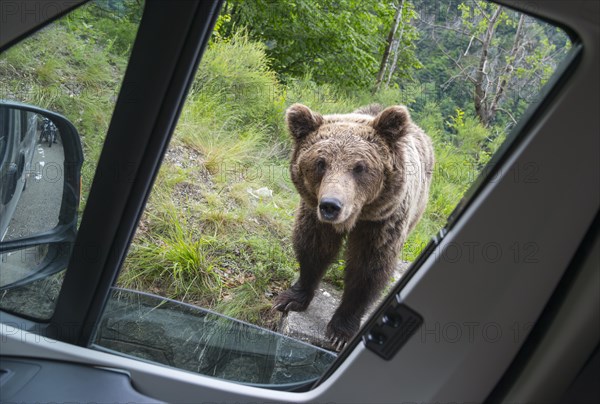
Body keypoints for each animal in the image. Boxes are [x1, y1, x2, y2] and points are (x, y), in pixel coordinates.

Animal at [274, 102, 434, 348]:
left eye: (359, 167)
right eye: (321, 163)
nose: (331, 205)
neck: (357, 217)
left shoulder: (381, 223)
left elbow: (368, 268)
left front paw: (340, 332)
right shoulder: (315, 216)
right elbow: (313, 248)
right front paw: (290, 299)